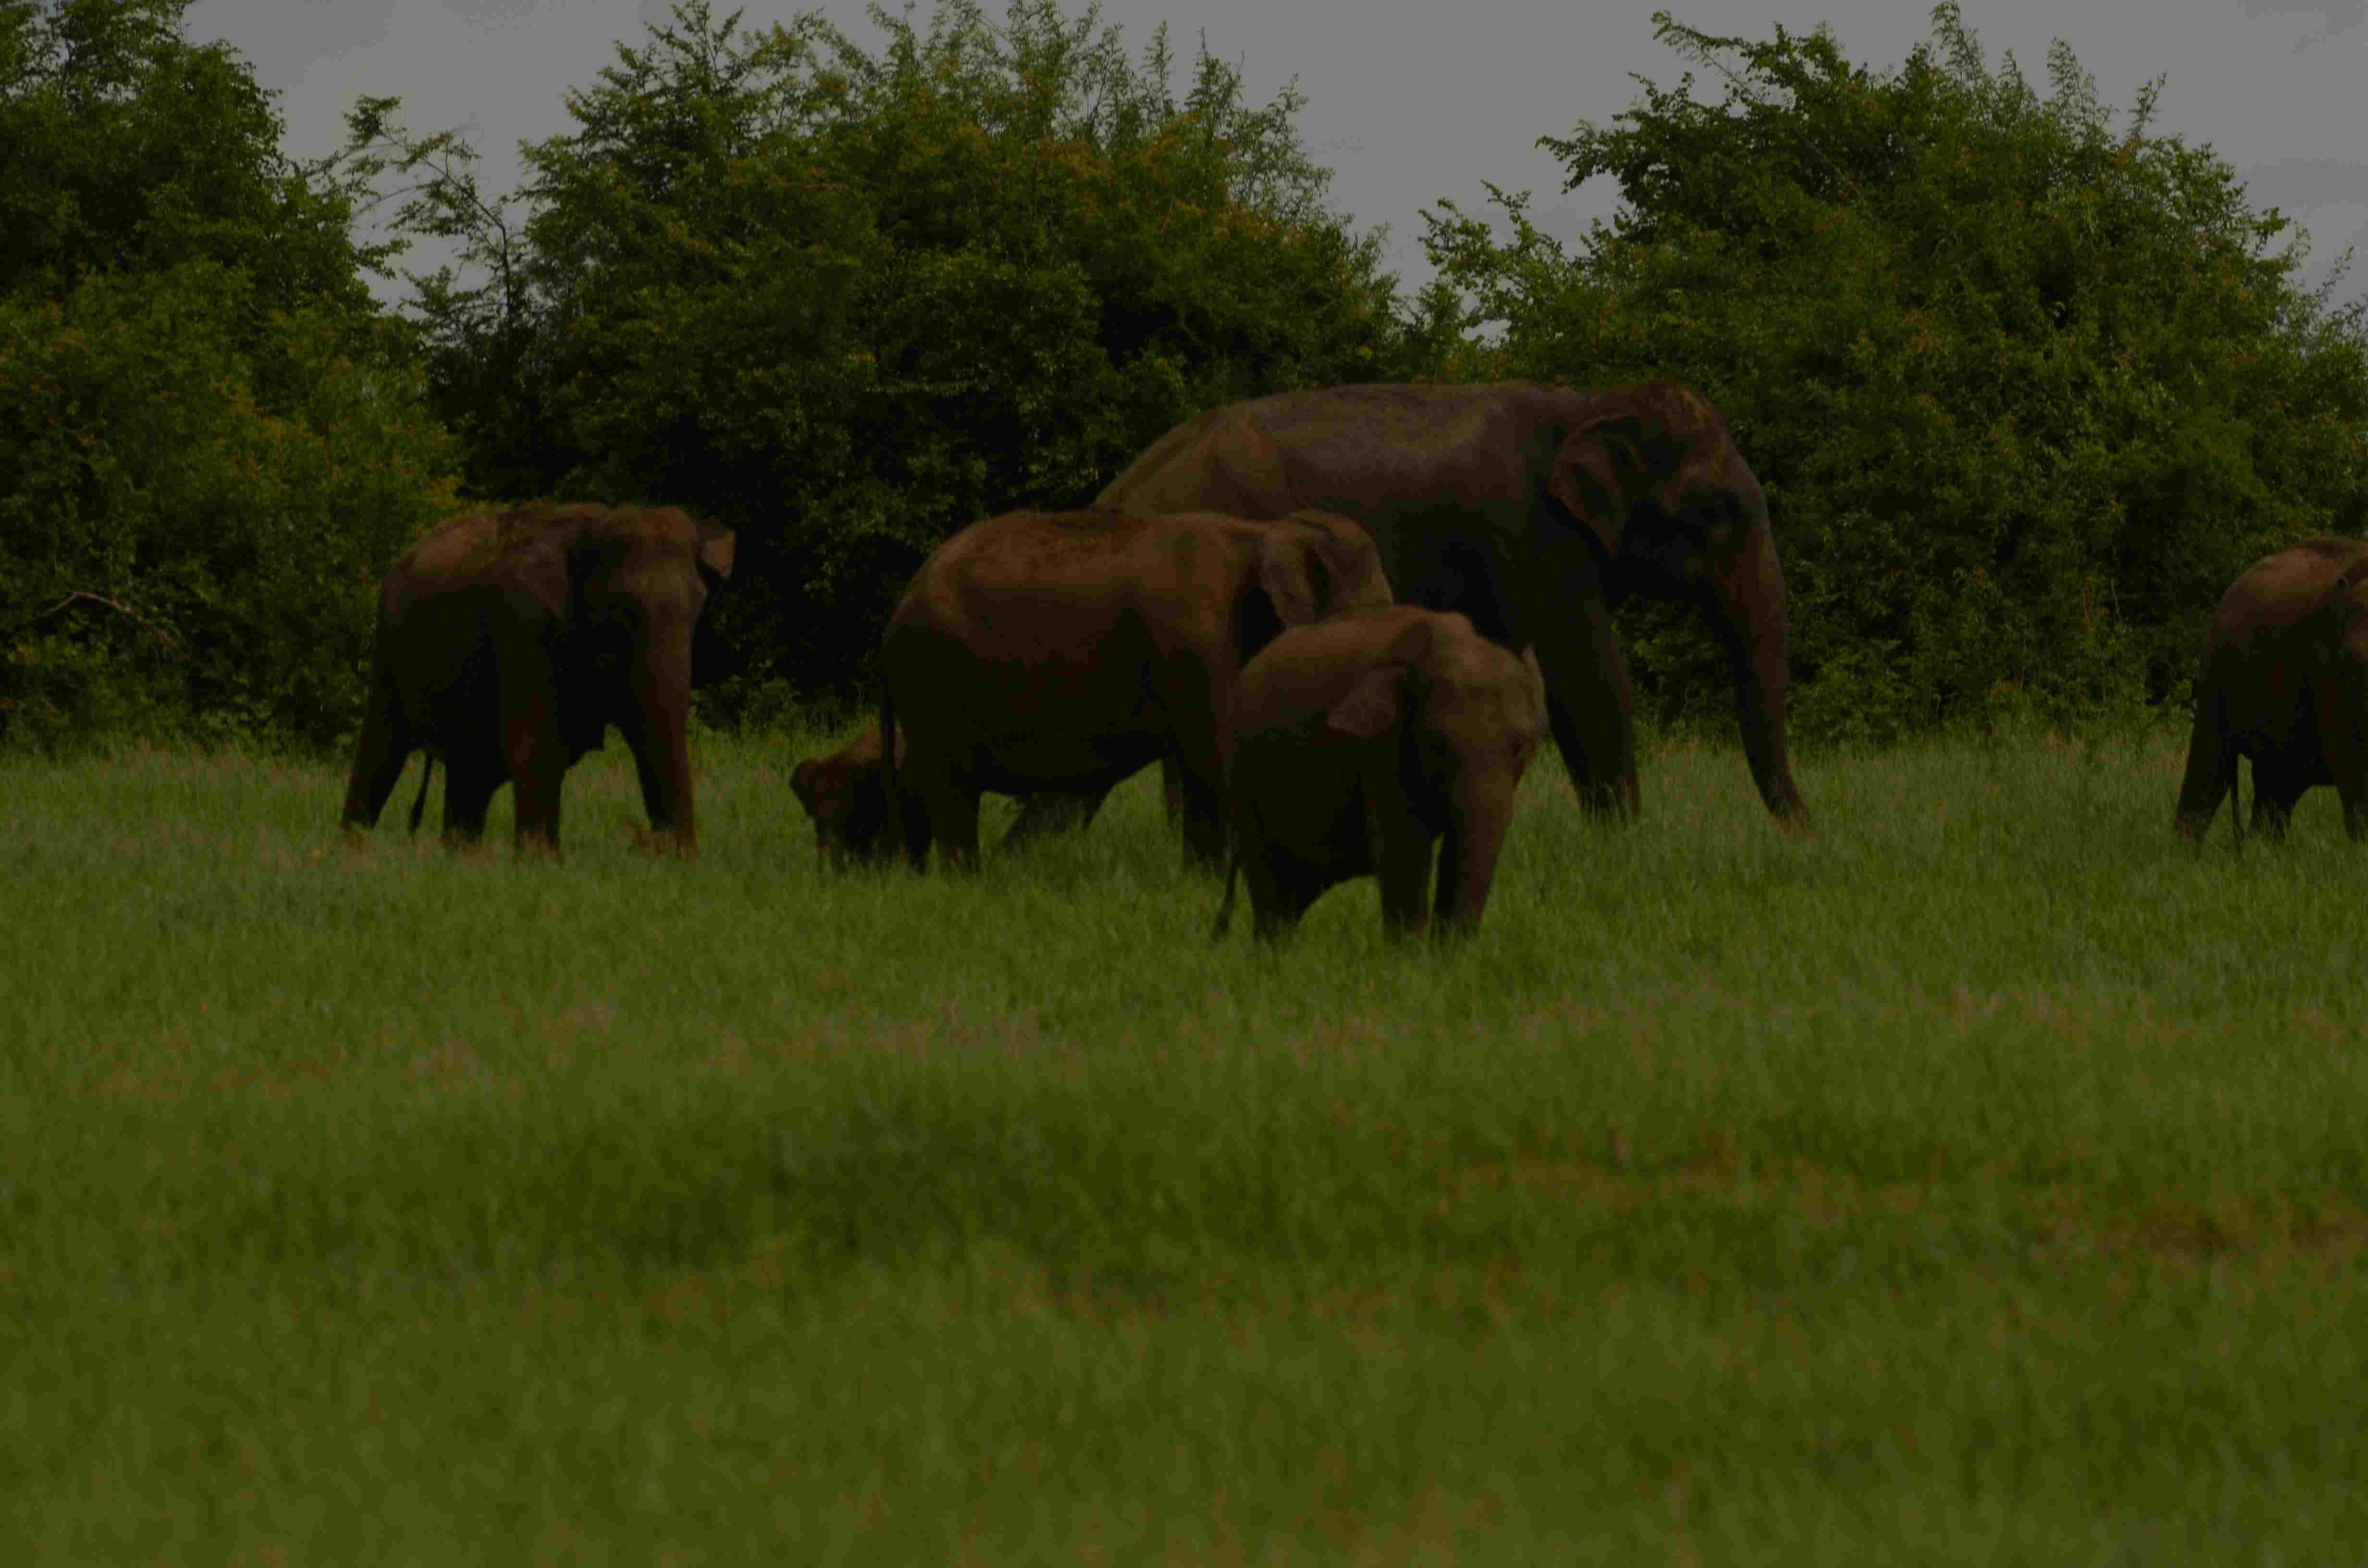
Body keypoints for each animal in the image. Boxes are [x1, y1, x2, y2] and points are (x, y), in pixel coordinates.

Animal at [341, 501, 735, 857]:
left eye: (698, 608)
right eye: (619, 614)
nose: (652, 847)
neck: (593, 528)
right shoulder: (524, 625)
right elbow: (538, 743)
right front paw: (540, 864)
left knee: (471, 771)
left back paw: (460, 859)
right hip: (388, 645)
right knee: (381, 748)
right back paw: (353, 853)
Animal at [878, 507, 1393, 871]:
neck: (1268, 530)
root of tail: (899, 607)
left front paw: (1198, 883)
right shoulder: (1198, 646)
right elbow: (1214, 765)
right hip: (933, 678)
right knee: (950, 791)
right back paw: (967, 881)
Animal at [1013, 378, 1804, 842]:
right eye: (1719, 509)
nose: (1807, 835)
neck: (1591, 402)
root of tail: (1113, 494)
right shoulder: (1530, 535)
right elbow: (1582, 674)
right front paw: (1624, 850)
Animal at [1212, 606, 1550, 943]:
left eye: (1520, 747)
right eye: (1437, 747)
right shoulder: (1383, 748)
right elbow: (1405, 848)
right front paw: (1410, 956)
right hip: (1242, 773)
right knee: (1272, 888)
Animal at [2175, 537, 2368, 847]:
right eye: (2350, 661)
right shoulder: (2328, 673)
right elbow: (2352, 762)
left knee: (2276, 788)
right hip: (2216, 668)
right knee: (2211, 765)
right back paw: (2182, 853)